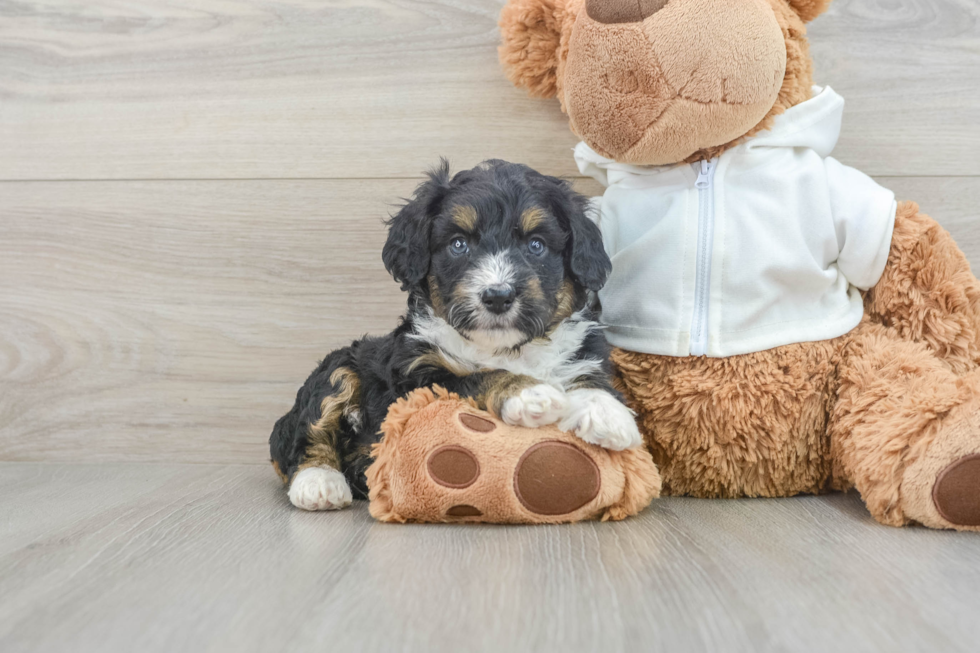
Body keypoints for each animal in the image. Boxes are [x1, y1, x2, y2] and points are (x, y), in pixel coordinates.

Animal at [272, 158, 648, 510]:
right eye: (458, 244)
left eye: (536, 245)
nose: (498, 296)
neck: (506, 349)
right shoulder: (415, 383)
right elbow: (476, 377)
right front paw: (528, 394)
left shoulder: (583, 349)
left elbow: (588, 375)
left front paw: (608, 414)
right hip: (338, 367)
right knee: (305, 433)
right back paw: (319, 483)